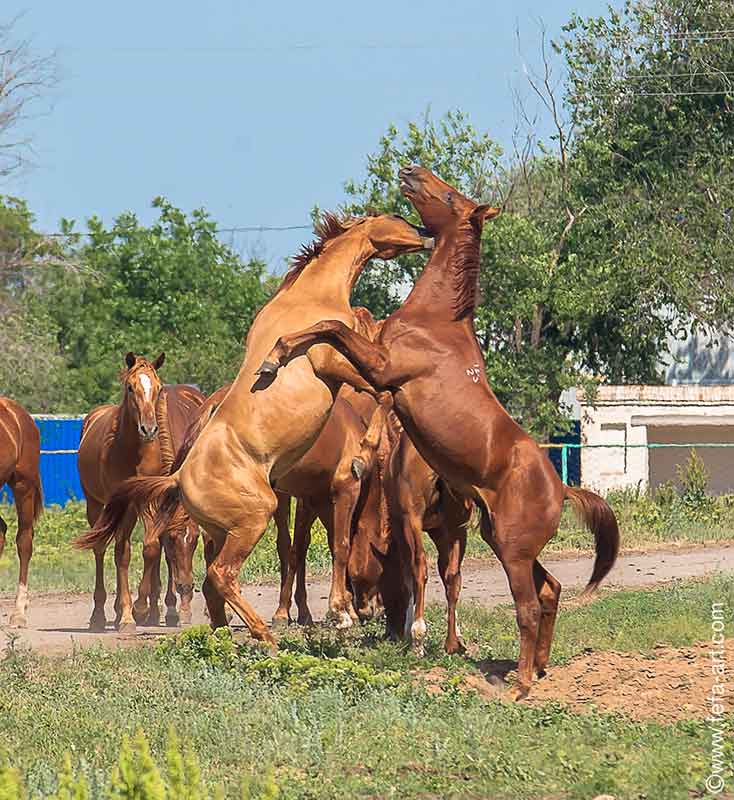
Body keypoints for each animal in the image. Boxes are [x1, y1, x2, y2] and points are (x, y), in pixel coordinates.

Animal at [76, 354, 204, 636]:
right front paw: (131, 613)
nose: (148, 429)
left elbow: (152, 549)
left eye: (157, 388)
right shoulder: (125, 505)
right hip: (97, 505)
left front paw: (148, 608)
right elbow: (124, 554)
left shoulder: (151, 501)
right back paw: (101, 615)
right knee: (102, 549)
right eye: (130, 387)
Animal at [258, 169, 620, 700]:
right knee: (550, 589)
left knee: (529, 605)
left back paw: (521, 685)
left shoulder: (383, 369)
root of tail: (562, 487)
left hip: (511, 550)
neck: (437, 322)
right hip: (502, 539)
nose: (411, 172)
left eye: (449, 194)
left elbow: (329, 328)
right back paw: (536, 668)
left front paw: (274, 358)